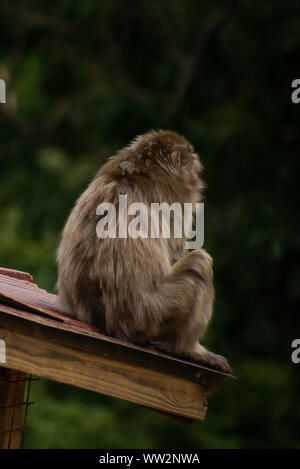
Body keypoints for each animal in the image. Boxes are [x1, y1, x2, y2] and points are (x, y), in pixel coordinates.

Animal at [56, 129, 232, 372]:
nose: (197, 177)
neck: (146, 165)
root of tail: (114, 325)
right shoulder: (177, 198)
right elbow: (176, 252)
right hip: (153, 314)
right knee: (199, 264)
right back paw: (187, 349)